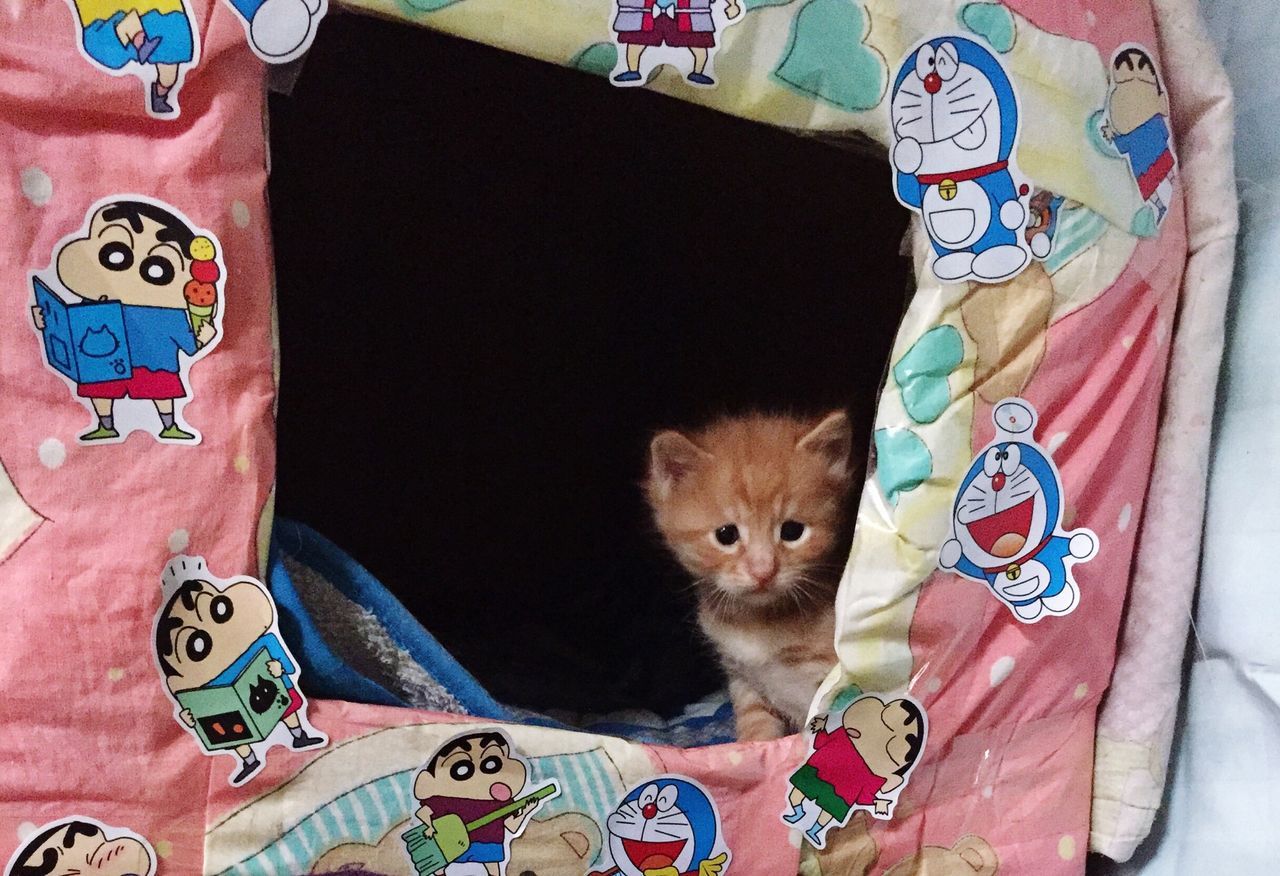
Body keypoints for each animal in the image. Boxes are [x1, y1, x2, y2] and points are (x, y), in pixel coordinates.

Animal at [640, 409, 860, 737]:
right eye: (726, 534)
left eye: (792, 531)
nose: (763, 570)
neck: (758, 623)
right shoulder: (745, 680)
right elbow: (757, 728)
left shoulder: (831, 678)